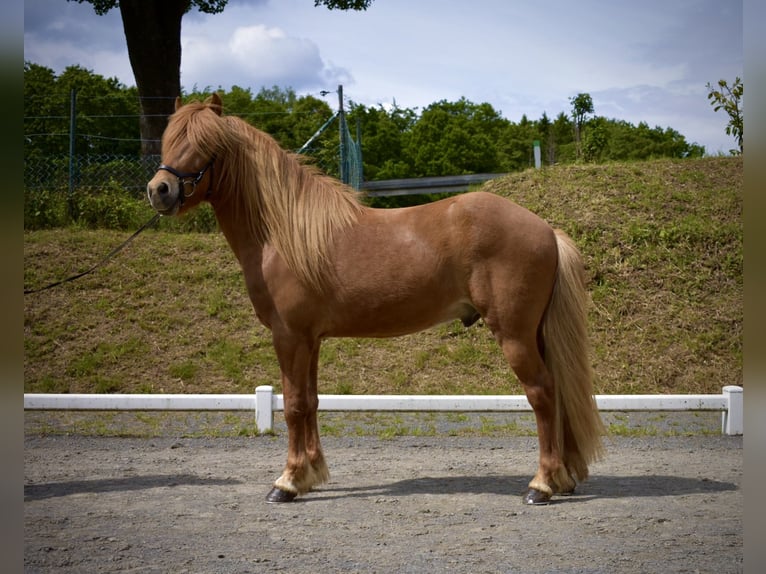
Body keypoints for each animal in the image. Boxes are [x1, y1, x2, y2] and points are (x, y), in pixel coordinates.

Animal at [147, 93, 605, 505]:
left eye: (207, 144)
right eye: (170, 138)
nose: (160, 190)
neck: (283, 233)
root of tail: (546, 230)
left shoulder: (289, 336)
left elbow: (292, 405)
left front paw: (288, 482)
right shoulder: (310, 340)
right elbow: (310, 402)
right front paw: (312, 474)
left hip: (514, 335)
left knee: (542, 393)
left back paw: (542, 485)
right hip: (535, 333)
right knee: (557, 392)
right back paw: (564, 478)